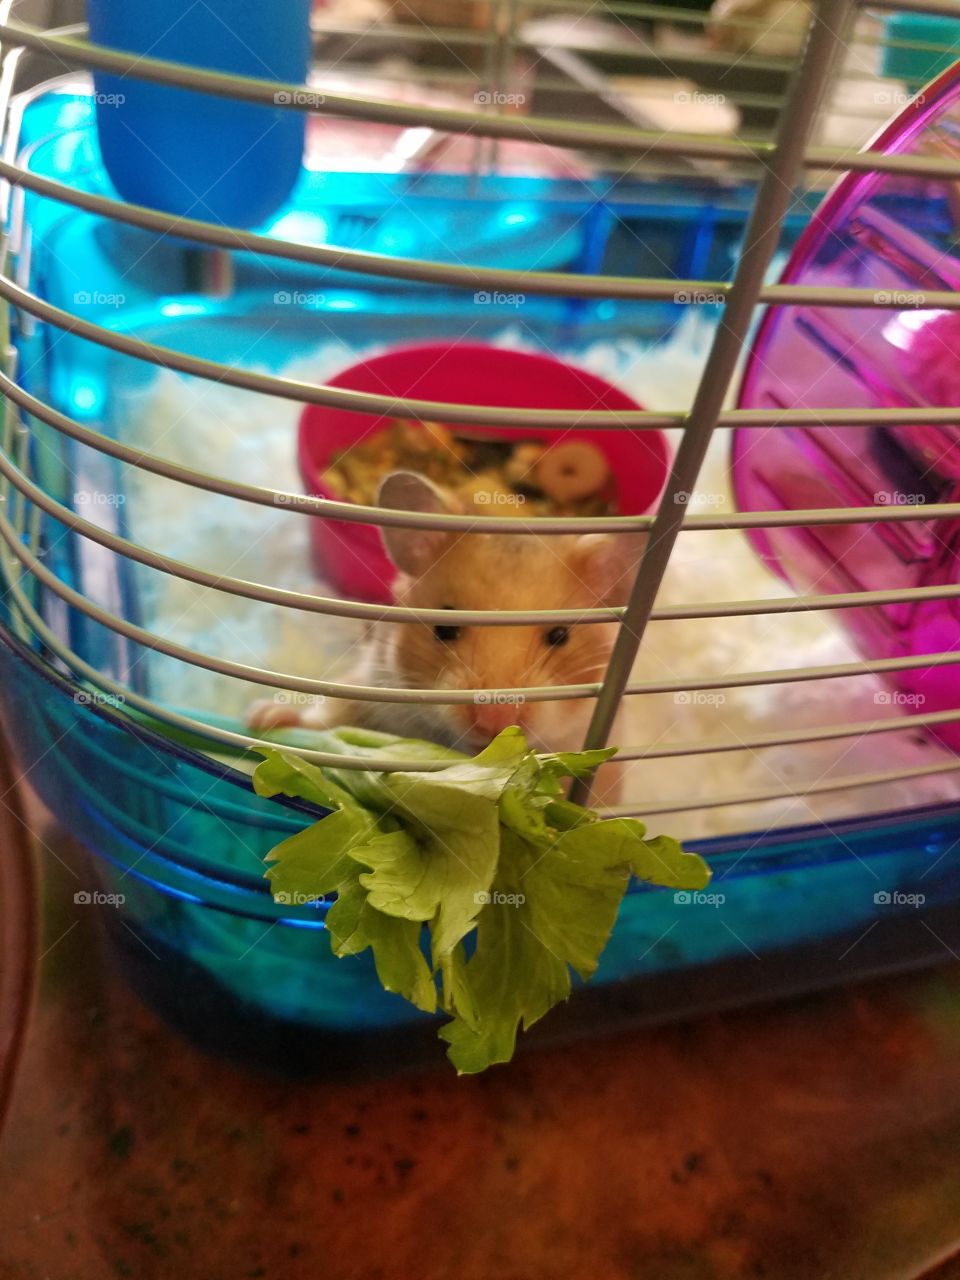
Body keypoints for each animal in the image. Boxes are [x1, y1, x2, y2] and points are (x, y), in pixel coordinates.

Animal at [248, 470, 645, 803]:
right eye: (444, 627)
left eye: (561, 635)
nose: (494, 722)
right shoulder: (363, 688)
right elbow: (322, 721)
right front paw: (266, 718)